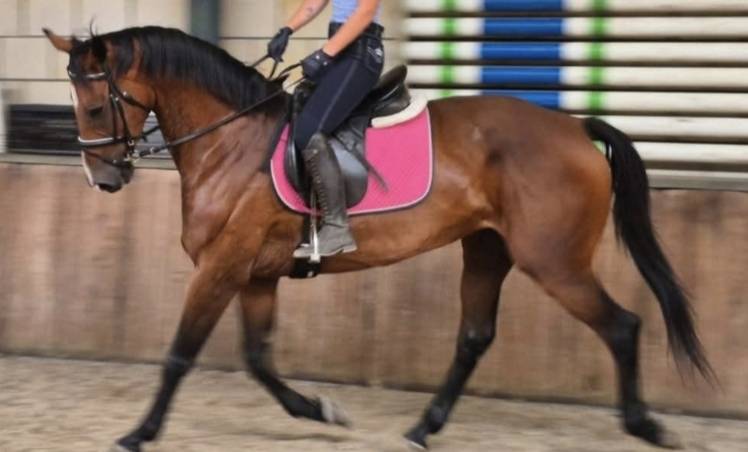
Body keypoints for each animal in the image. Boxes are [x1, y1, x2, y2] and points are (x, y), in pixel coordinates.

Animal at [44, 26, 711, 451]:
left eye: (96, 106)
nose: (104, 178)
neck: (229, 141)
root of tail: (574, 128)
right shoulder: (255, 273)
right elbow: (259, 360)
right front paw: (322, 410)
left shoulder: (223, 267)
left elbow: (180, 354)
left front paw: (138, 434)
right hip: (488, 249)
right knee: (475, 335)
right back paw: (423, 429)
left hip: (554, 261)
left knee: (622, 326)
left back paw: (648, 428)